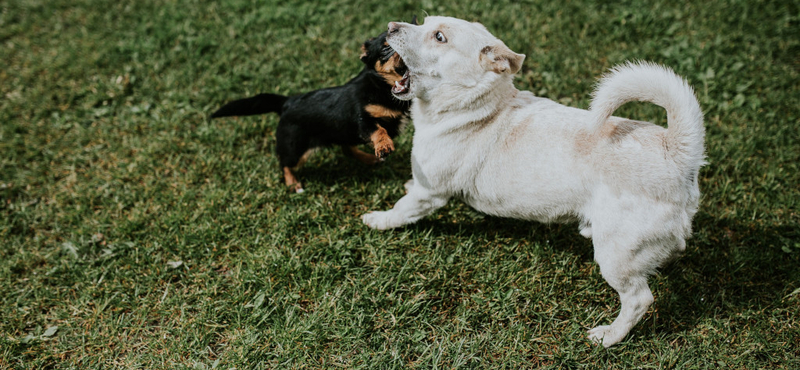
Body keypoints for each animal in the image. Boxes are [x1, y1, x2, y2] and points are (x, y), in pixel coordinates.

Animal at [209, 26, 416, 194]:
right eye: (386, 48)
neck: (382, 87)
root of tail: (287, 102)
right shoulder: (362, 118)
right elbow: (377, 129)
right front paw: (383, 145)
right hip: (296, 149)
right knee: (285, 164)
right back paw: (294, 185)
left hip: (340, 132)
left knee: (347, 148)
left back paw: (368, 158)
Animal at [362, 15, 708, 346]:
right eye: (422, 21)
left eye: (439, 36)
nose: (391, 26)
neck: (477, 106)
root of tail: (676, 151)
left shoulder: (430, 193)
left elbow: (401, 210)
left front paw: (377, 220)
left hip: (615, 254)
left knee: (638, 298)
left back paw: (609, 337)